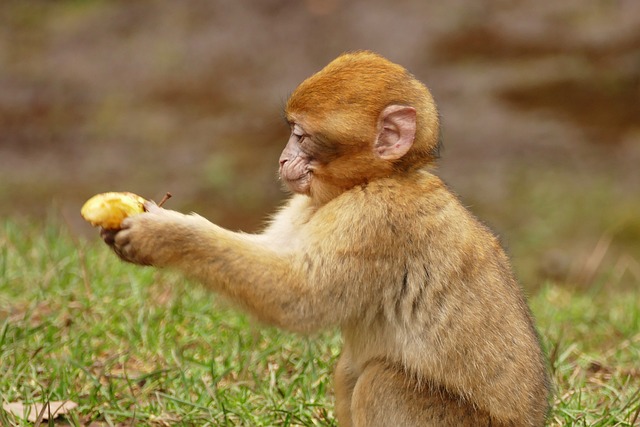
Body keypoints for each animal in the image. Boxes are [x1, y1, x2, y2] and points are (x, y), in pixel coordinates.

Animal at [104, 51, 552, 426]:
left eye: (301, 136)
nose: (283, 158)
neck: (380, 177)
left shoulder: (376, 219)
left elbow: (298, 299)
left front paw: (165, 234)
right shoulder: (309, 204)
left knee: (379, 382)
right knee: (349, 372)